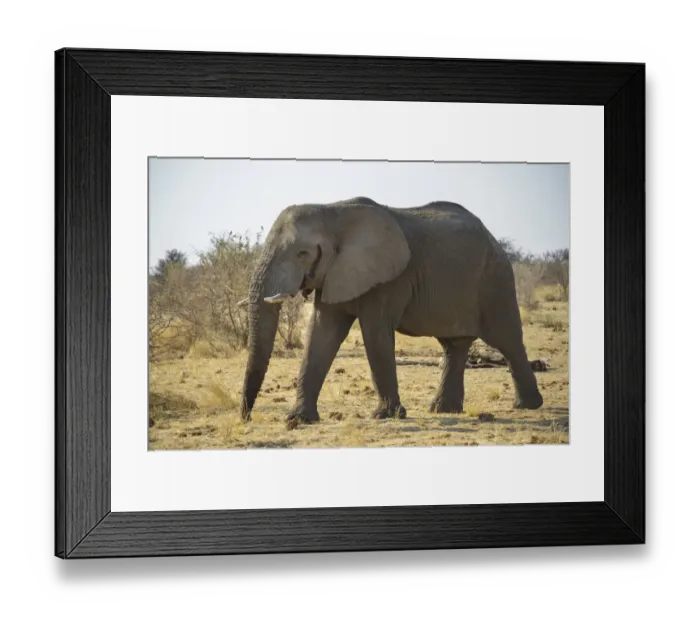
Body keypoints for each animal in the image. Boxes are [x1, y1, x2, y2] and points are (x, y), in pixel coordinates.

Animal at [240, 197, 543, 428]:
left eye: (302, 253)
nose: (246, 418)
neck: (332, 212)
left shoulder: (390, 278)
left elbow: (375, 333)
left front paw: (386, 416)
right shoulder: (335, 273)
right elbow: (321, 334)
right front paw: (299, 419)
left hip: (496, 279)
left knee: (507, 340)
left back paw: (529, 406)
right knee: (454, 345)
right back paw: (443, 410)